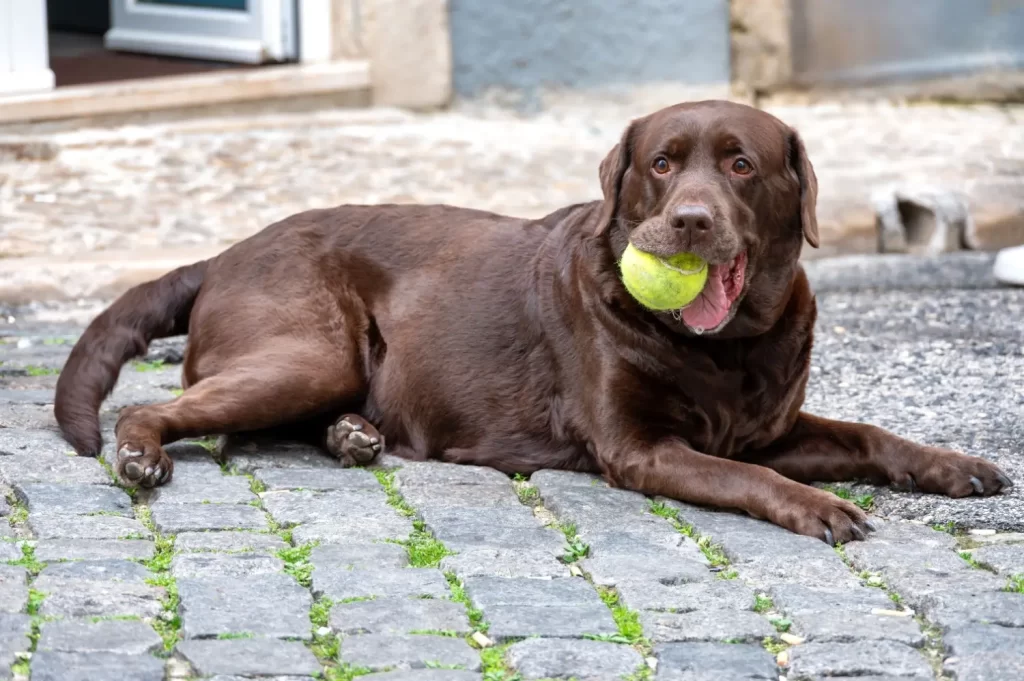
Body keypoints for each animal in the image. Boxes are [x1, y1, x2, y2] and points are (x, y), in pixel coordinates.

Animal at [51, 99, 1011, 540]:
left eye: (740, 164)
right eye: (663, 164)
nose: (690, 220)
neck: (727, 346)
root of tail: (222, 252)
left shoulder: (770, 426)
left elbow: (868, 434)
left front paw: (955, 465)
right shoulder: (644, 449)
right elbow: (748, 477)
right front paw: (818, 506)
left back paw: (355, 436)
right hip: (309, 351)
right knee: (162, 407)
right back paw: (140, 455)